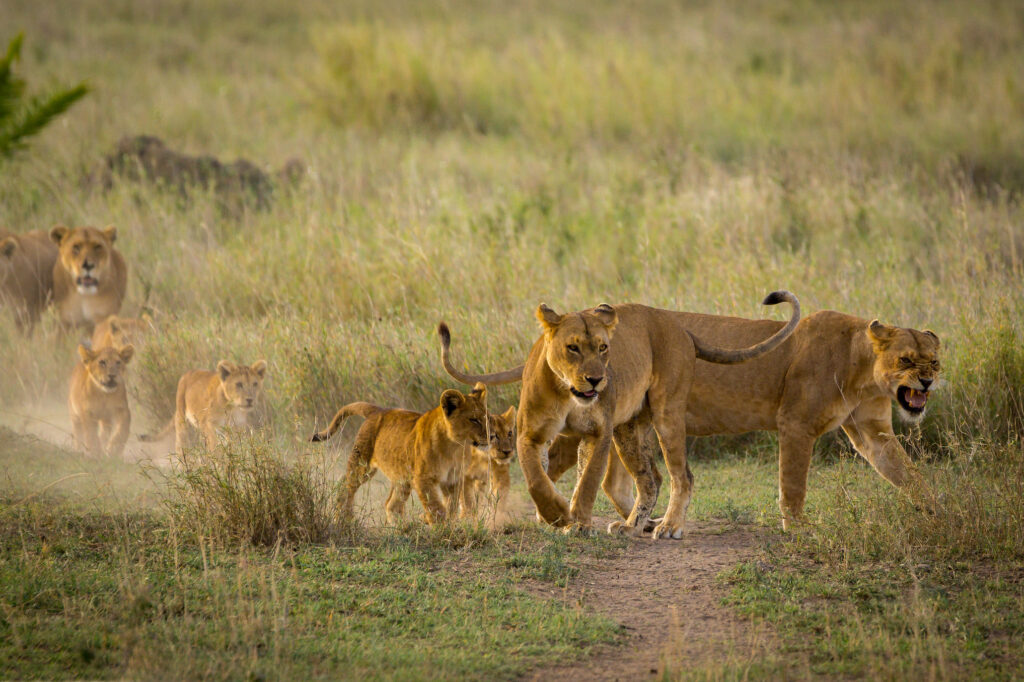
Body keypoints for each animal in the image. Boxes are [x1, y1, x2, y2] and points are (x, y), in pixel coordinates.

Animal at [310, 383, 490, 526]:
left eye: (486, 418)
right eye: (474, 420)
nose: (491, 435)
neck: (455, 447)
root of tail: (378, 410)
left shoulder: (453, 479)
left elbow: (451, 507)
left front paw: (447, 526)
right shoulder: (423, 479)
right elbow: (436, 508)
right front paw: (440, 529)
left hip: (401, 477)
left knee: (392, 504)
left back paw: (402, 529)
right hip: (362, 464)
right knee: (345, 488)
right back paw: (344, 520)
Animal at [438, 291, 800, 538]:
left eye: (603, 348)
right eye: (572, 348)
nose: (596, 380)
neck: (568, 393)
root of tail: (679, 326)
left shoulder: (599, 433)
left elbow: (587, 482)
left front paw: (577, 522)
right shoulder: (531, 435)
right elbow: (538, 480)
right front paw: (556, 515)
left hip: (666, 415)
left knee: (680, 476)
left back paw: (667, 526)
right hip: (629, 429)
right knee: (649, 480)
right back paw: (633, 525)